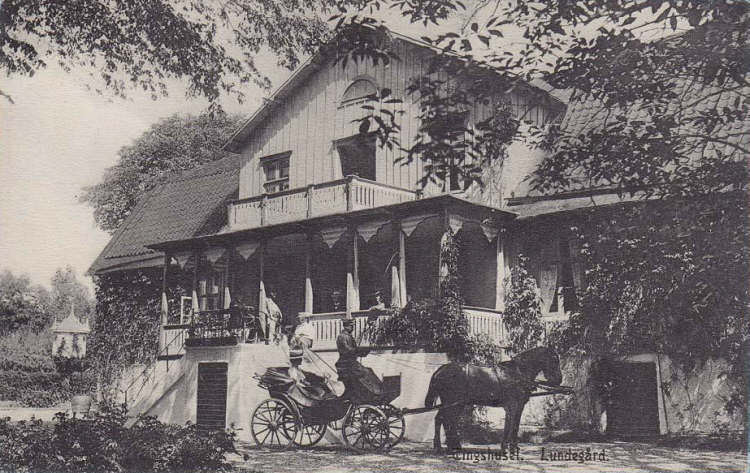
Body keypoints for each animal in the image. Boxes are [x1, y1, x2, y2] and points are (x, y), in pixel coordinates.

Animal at [426, 344, 560, 452]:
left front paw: (510, 447)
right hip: (452, 402)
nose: (558, 380)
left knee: (446, 420)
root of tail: (441, 369)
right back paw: (440, 446)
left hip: (456, 404)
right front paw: (508, 447)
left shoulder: (517, 406)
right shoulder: (513, 405)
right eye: (554, 359)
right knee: (443, 419)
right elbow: (511, 425)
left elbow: (513, 425)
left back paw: (453, 446)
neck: (517, 373)